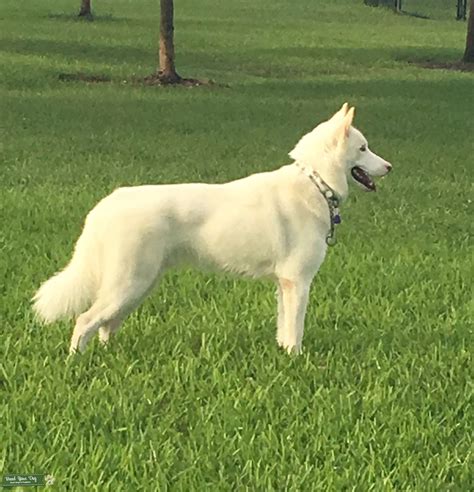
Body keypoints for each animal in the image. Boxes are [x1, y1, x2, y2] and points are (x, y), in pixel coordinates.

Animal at [33, 105, 392, 356]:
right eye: (363, 148)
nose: (389, 167)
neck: (315, 182)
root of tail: (106, 204)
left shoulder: (284, 285)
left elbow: (283, 327)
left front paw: (283, 354)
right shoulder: (297, 282)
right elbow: (295, 331)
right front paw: (296, 359)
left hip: (137, 287)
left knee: (106, 325)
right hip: (129, 285)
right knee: (85, 321)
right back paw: (76, 362)